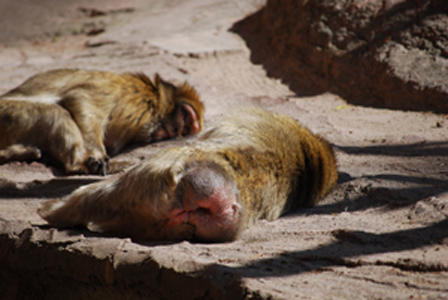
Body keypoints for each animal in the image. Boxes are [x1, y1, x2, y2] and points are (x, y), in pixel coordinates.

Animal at [0, 69, 203, 175]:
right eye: (185, 115)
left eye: (187, 130)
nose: (178, 130)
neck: (156, 98)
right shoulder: (133, 98)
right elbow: (80, 99)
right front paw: (97, 156)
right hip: (8, 113)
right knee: (55, 113)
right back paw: (79, 164)